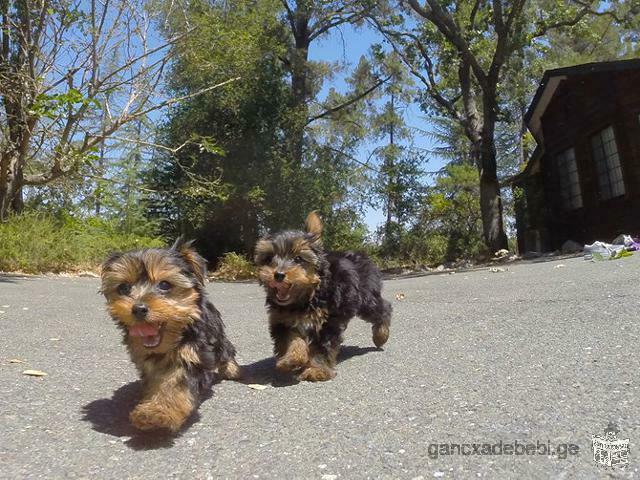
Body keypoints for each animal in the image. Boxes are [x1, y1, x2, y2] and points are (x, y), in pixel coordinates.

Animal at [100, 240, 240, 432]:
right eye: (124, 287)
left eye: (165, 285)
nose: (138, 308)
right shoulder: (147, 361)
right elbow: (156, 380)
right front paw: (151, 401)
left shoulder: (193, 354)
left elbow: (175, 383)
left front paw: (157, 412)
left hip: (217, 334)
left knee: (225, 349)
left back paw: (232, 369)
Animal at [255, 214, 390, 382]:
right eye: (268, 258)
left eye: (298, 259)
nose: (278, 274)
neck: (306, 297)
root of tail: (361, 254)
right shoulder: (282, 320)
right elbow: (292, 340)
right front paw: (291, 360)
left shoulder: (328, 322)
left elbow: (322, 346)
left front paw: (317, 370)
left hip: (366, 299)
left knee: (382, 309)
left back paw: (381, 335)